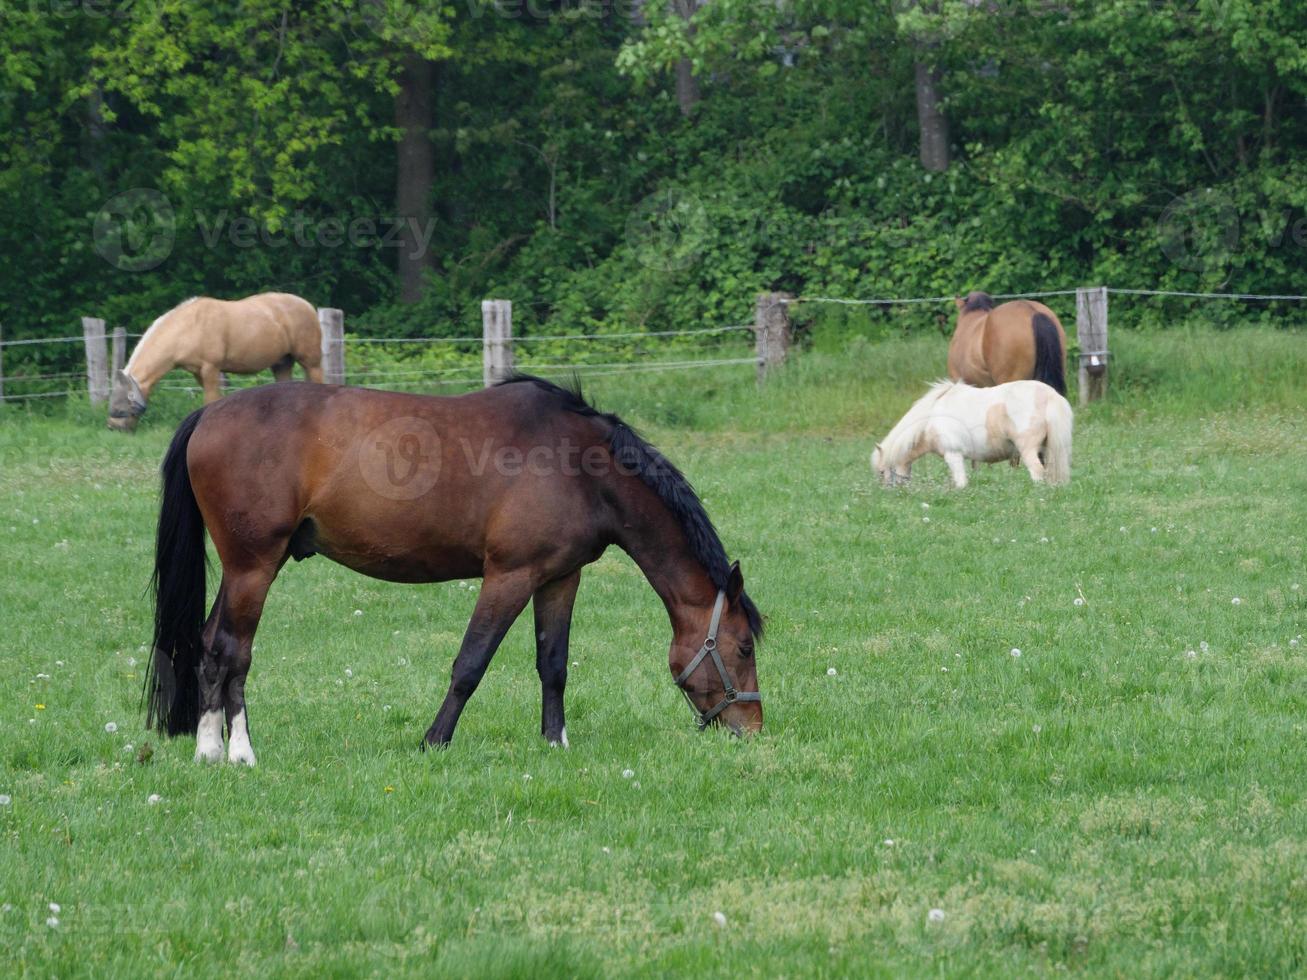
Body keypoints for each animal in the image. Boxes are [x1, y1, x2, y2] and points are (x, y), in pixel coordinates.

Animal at [107, 290, 321, 431]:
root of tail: (308, 306)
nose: (112, 427)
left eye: (120, 402)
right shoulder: (198, 373)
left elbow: (211, 400)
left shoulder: (211, 369)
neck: (188, 327)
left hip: (311, 363)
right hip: (282, 364)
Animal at [141, 371, 763, 763]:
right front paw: (433, 741)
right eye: (743, 648)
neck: (579, 465)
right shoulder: (509, 576)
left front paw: (555, 742)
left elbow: (553, 663)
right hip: (253, 567)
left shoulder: (559, 578)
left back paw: (210, 747)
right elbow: (471, 664)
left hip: (240, 572)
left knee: (207, 643)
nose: (753, 728)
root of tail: (208, 413)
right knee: (231, 650)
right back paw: (233, 751)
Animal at [867, 381, 1071, 491]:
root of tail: (1049, 395)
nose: (892, 492)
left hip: (1028, 450)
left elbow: (961, 483)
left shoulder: (953, 455)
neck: (931, 418)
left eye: (882, 472)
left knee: (1037, 472)